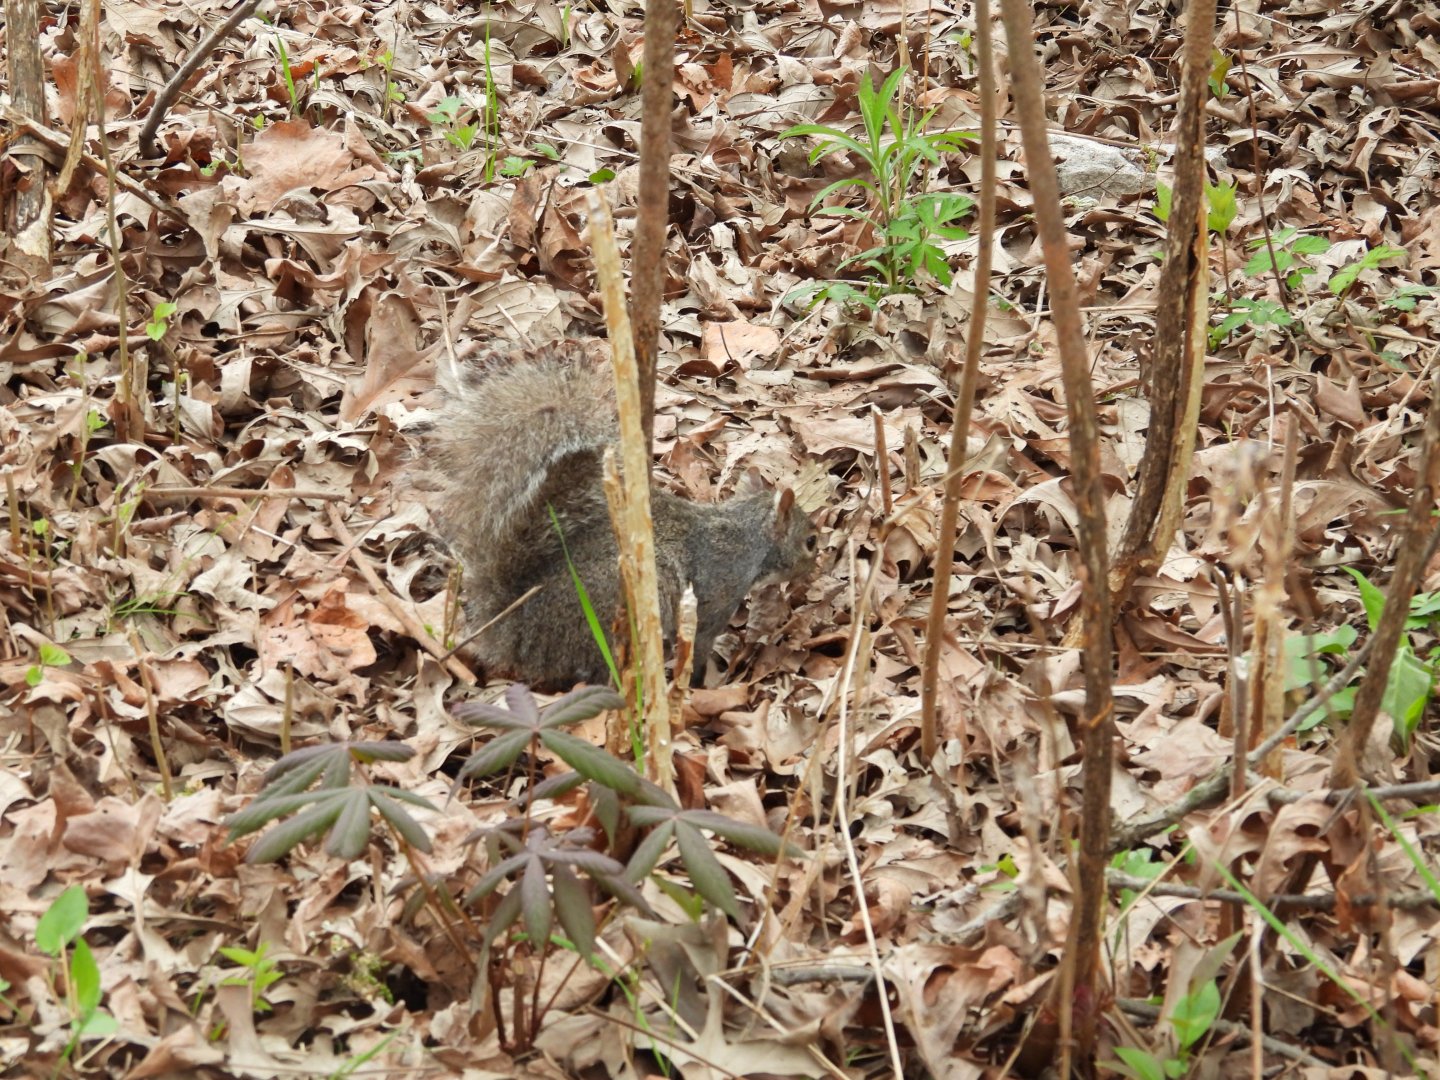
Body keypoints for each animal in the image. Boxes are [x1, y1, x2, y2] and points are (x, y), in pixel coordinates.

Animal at [428, 340, 818, 688]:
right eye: (811, 541)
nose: (816, 571)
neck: (749, 537)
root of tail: (516, 628)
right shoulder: (716, 594)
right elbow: (700, 645)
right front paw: (703, 682)